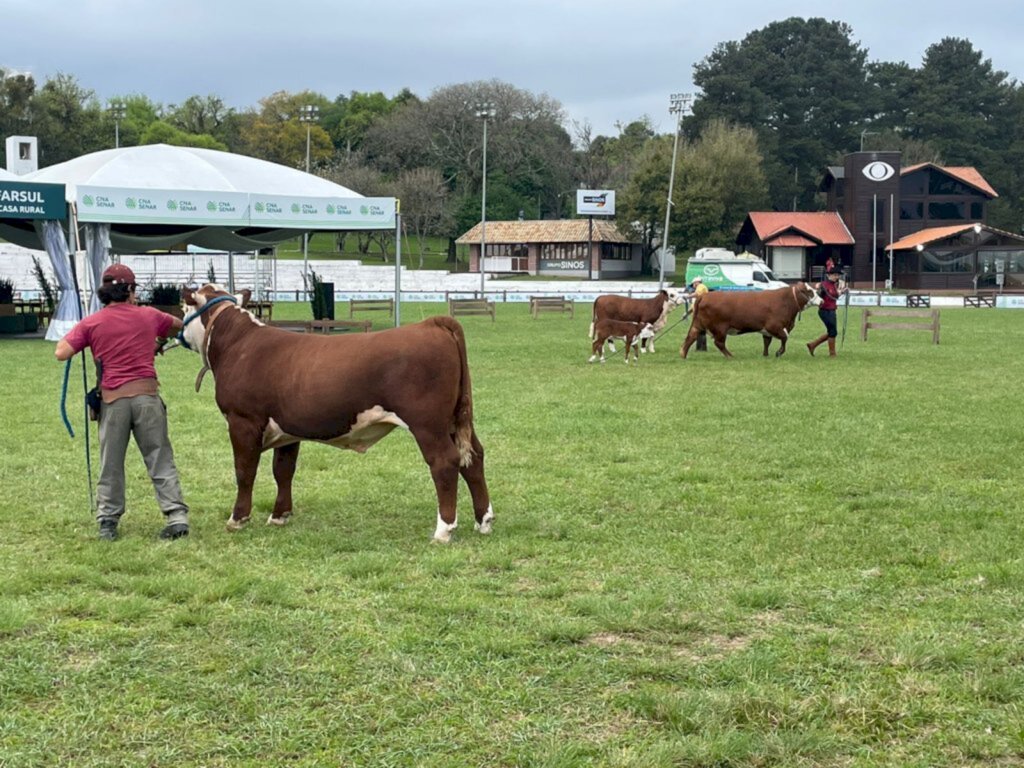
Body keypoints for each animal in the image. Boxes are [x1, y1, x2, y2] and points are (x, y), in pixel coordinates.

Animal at [179, 286, 491, 544]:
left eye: (183, 306)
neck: (240, 345)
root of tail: (432, 324)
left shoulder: (242, 421)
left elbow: (245, 471)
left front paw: (238, 519)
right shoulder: (288, 428)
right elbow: (283, 471)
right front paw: (279, 515)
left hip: (428, 424)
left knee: (445, 462)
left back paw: (443, 530)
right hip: (455, 420)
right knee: (473, 457)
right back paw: (483, 521)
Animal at [679, 286, 823, 360]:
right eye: (810, 291)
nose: (821, 300)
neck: (786, 301)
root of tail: (704, 295)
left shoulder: (767, 330)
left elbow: (767, 342)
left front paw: (765, 355)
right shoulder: (774, 326)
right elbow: (784, 338)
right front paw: (778, 352)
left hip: (698, 325)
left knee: (690, 337)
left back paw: (683, 354)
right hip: (720, 328)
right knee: (719, 343)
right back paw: (730, 356)